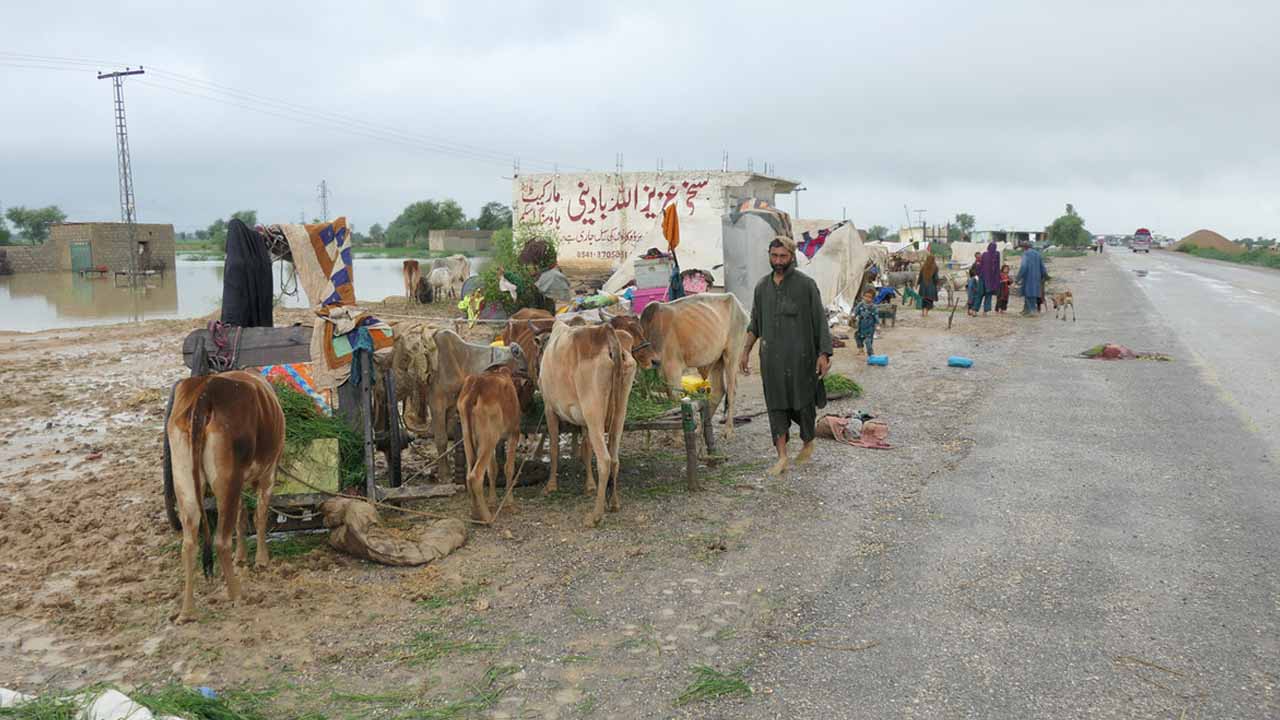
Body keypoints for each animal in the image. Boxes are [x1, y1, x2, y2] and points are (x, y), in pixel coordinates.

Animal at [166, 368, 284, 622]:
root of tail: (205, 392)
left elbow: (241, 517)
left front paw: (242, 557)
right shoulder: (269, 473)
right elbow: (259, 516)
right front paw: (261, 560)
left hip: (185, 481)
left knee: (189, 544)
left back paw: (187, 611)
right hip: (228, 478)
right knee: (221, 540)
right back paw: (237, 594)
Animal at [458, 363, 522, 520]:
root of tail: (477, 383)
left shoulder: (495, 442)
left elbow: (493, 469)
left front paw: (492, 501)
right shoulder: (514, 433)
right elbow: (508, 468)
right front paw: (509, 502)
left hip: (470, 437)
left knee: (469, 474)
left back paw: (475, 512)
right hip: (489, 439)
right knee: (475, 476)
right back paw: (487, 517)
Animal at [640, 292, 747, 438]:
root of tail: (740, 307)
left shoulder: (672, 368)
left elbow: (674, 399)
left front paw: (677, 437)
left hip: (732, 354)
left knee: (731, 391)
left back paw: (728, 430)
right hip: (716, 360)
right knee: (718, 391)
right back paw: (700, 430)